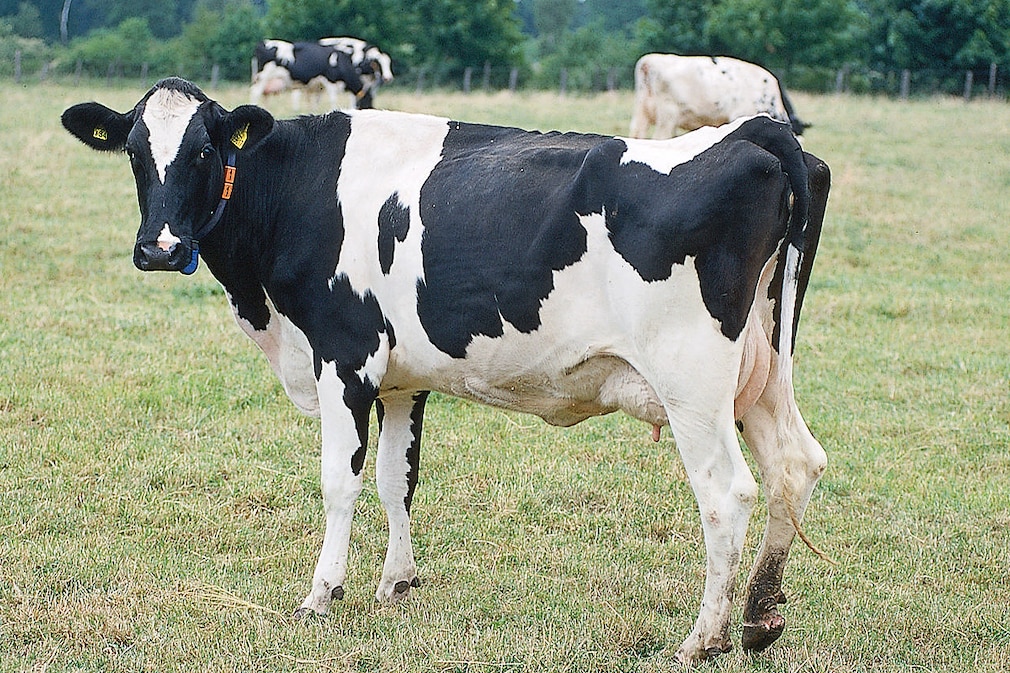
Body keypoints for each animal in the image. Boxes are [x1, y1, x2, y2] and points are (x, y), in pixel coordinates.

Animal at [61, 77, 830, 665]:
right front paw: (396, 583)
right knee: (794, 465)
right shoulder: (403, 378)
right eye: (134, 152)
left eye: (202, 150)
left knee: (728, 492)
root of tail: (757, 133)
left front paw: (321, 594)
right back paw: (760, 618)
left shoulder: (344, 354)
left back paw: (703, 639)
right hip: (762, 372)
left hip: (692, 379)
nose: (159, 248)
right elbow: (396, 478)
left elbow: (340, 481)